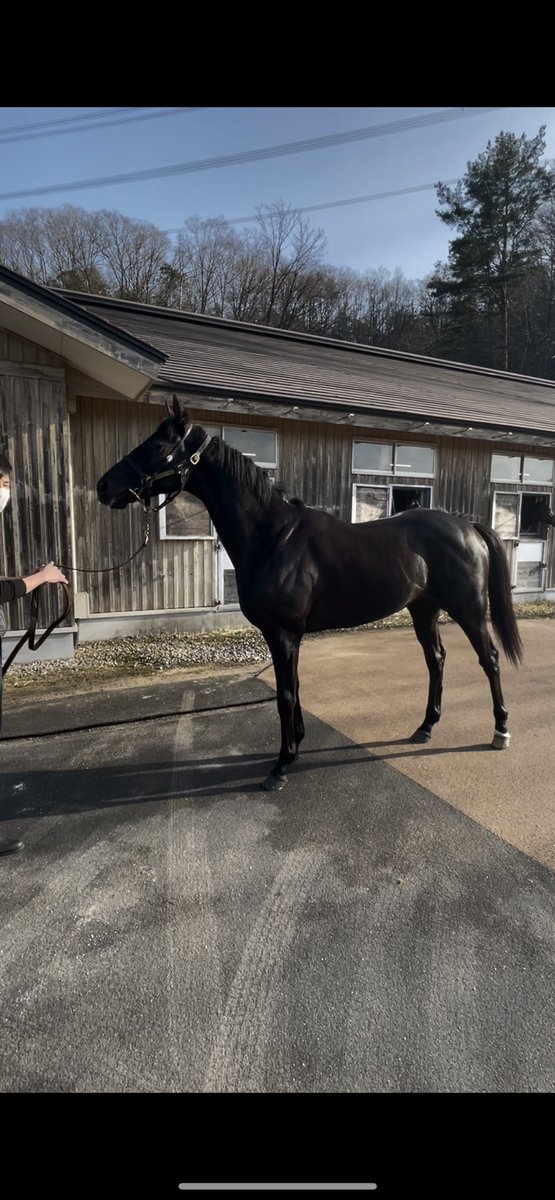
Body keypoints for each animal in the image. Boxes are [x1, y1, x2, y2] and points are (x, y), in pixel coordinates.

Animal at [97, 398, 526, 792]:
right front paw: (297, 745)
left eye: (156, 444)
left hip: (469, 610)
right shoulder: (290, 637)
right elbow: (295, 688)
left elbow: (285, 695)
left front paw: (281, 765)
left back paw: (501, 730)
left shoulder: (283, 634)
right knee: (436, 660)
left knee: (489, 659)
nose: (104, 486)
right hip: (424, 609)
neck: (274, 537)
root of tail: (467, 526)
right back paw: (425, 727)